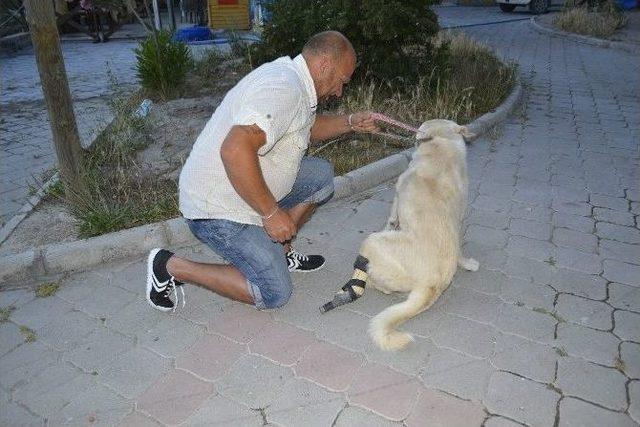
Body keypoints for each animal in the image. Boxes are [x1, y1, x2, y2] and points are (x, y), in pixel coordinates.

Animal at [360, 118, 480, 352]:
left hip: (372, 241)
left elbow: (391, 218)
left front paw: (391, 224)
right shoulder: (460, 216)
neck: (441, 143)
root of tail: (433, 285)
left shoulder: (398, 195)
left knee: (381, 284)